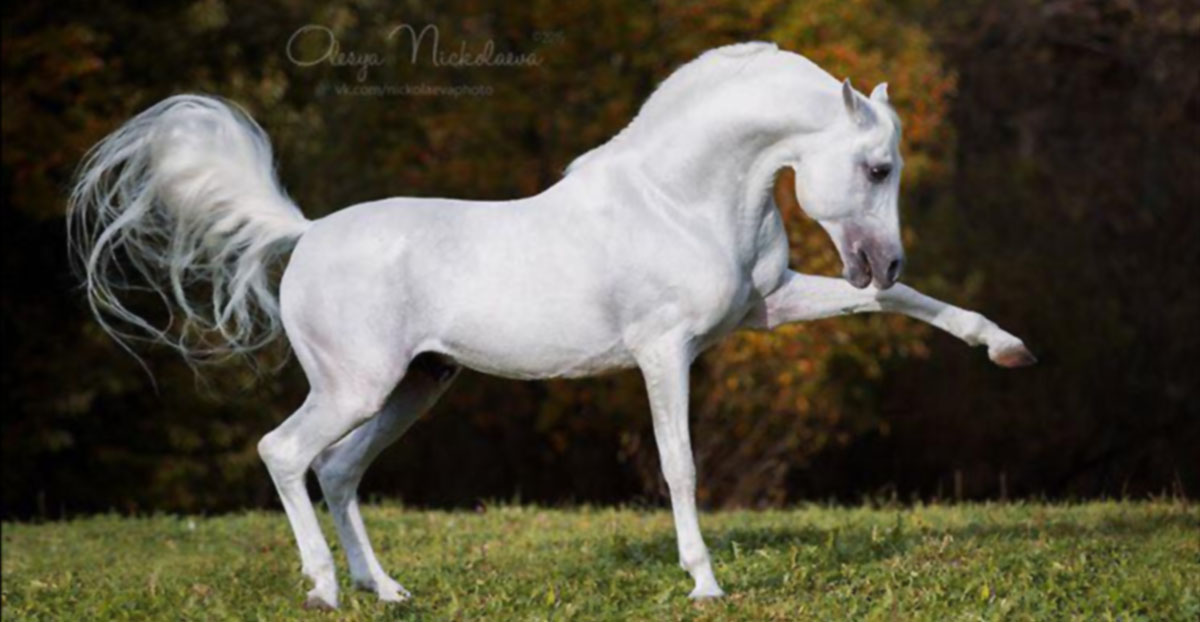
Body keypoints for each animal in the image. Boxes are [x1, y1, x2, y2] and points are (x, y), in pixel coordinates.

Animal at [70, 42, 1036, 609]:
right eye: (876, 167)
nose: (884, 259)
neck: (680, 198)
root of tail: (303, 234)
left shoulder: (767, 306)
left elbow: (896, 309)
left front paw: (1005, 347)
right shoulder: (664, 352)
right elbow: (681, 467)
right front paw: (705, 583)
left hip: (415, 386)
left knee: (337, 471)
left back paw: (389, 591)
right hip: (357, 386)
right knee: (285, 452)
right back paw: (324, 591)